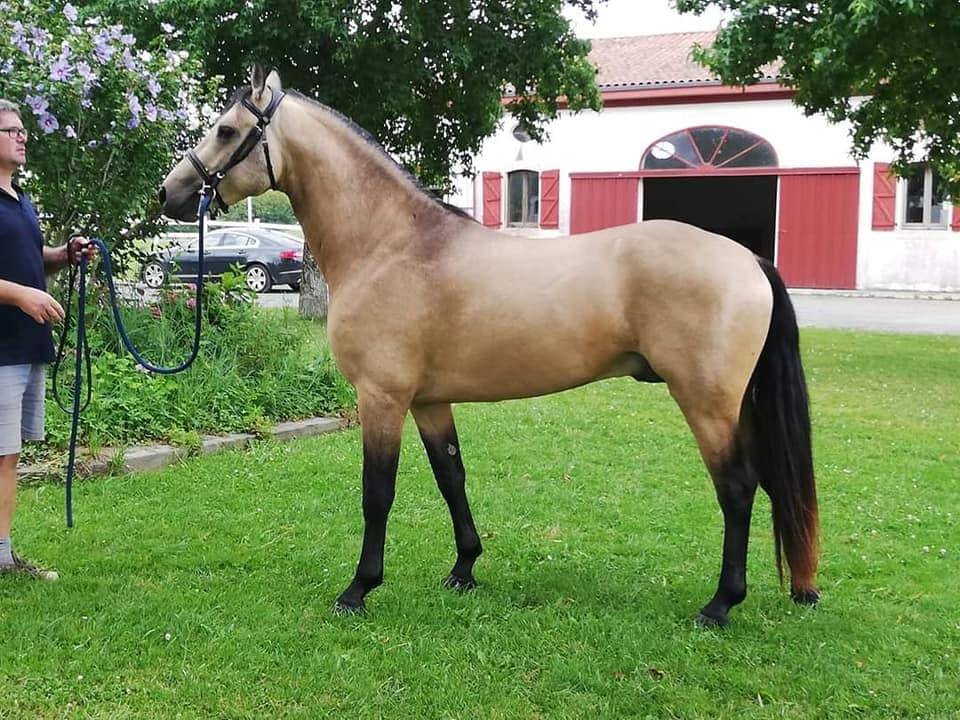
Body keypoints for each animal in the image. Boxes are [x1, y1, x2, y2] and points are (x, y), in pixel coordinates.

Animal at [159, 66, 820, 627]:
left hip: (707, 403)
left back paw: (720, 604)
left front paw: (359, 589)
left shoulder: (382, 398)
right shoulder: (428, 401)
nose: (170, 194)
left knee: (737, 488)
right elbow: (452, 477)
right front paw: (464, 568)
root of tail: (747, 259)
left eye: (226, 129)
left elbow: (378, 493)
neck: (390, 246)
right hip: (735, 405)